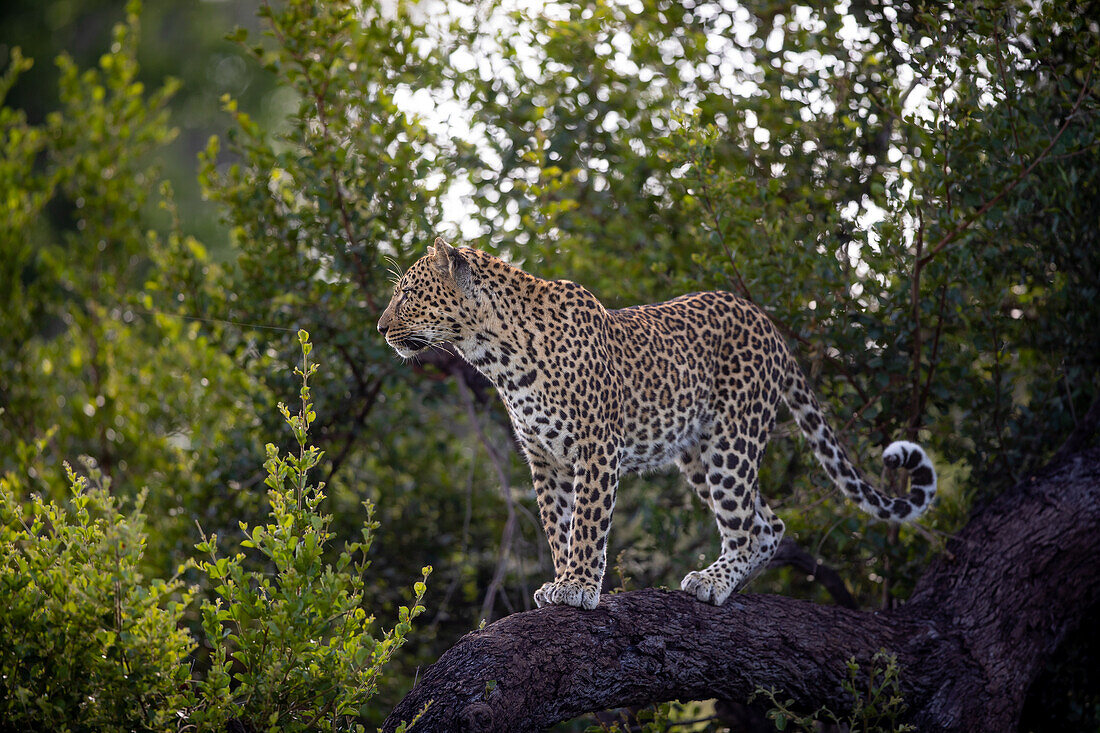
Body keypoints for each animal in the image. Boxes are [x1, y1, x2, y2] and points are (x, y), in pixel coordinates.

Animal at [378, 239, 937, 611]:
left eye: (406, 294)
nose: (382, 328)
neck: (495, 355)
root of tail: (767, 322)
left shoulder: (596, 448)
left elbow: (587, 525)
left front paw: (579, 586)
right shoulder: (545, 459)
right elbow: (558, 527)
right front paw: (560, 581)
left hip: (732, 443)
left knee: (747, 527)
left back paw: (715, 582)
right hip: (698, 453)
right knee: (769, 524)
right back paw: (730, 581)